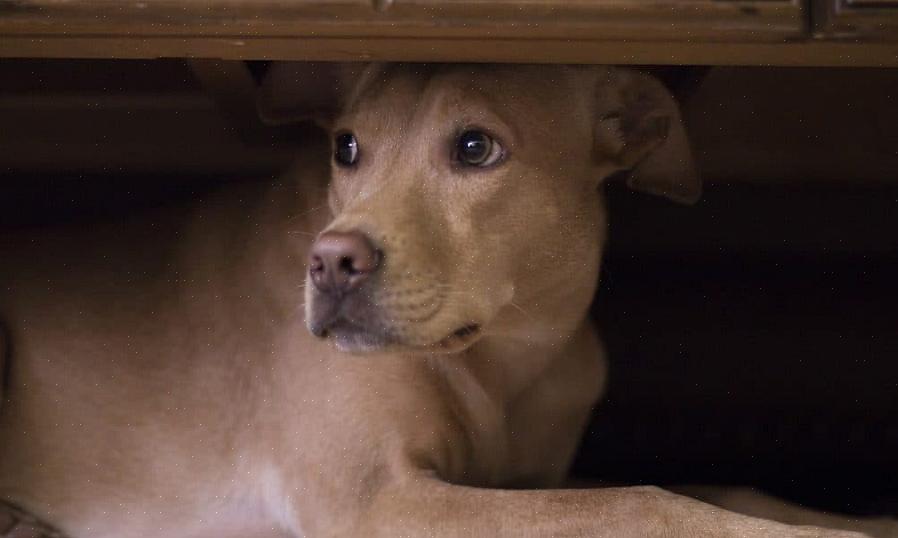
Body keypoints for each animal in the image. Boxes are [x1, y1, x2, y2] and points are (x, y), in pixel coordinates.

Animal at [0, 63, 892, 536]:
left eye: (474, 147)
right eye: (345, 148)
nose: (330, 265)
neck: (509, 352)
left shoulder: (521, 480)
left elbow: (711, 487)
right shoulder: (383, 497)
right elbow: (643, 502)